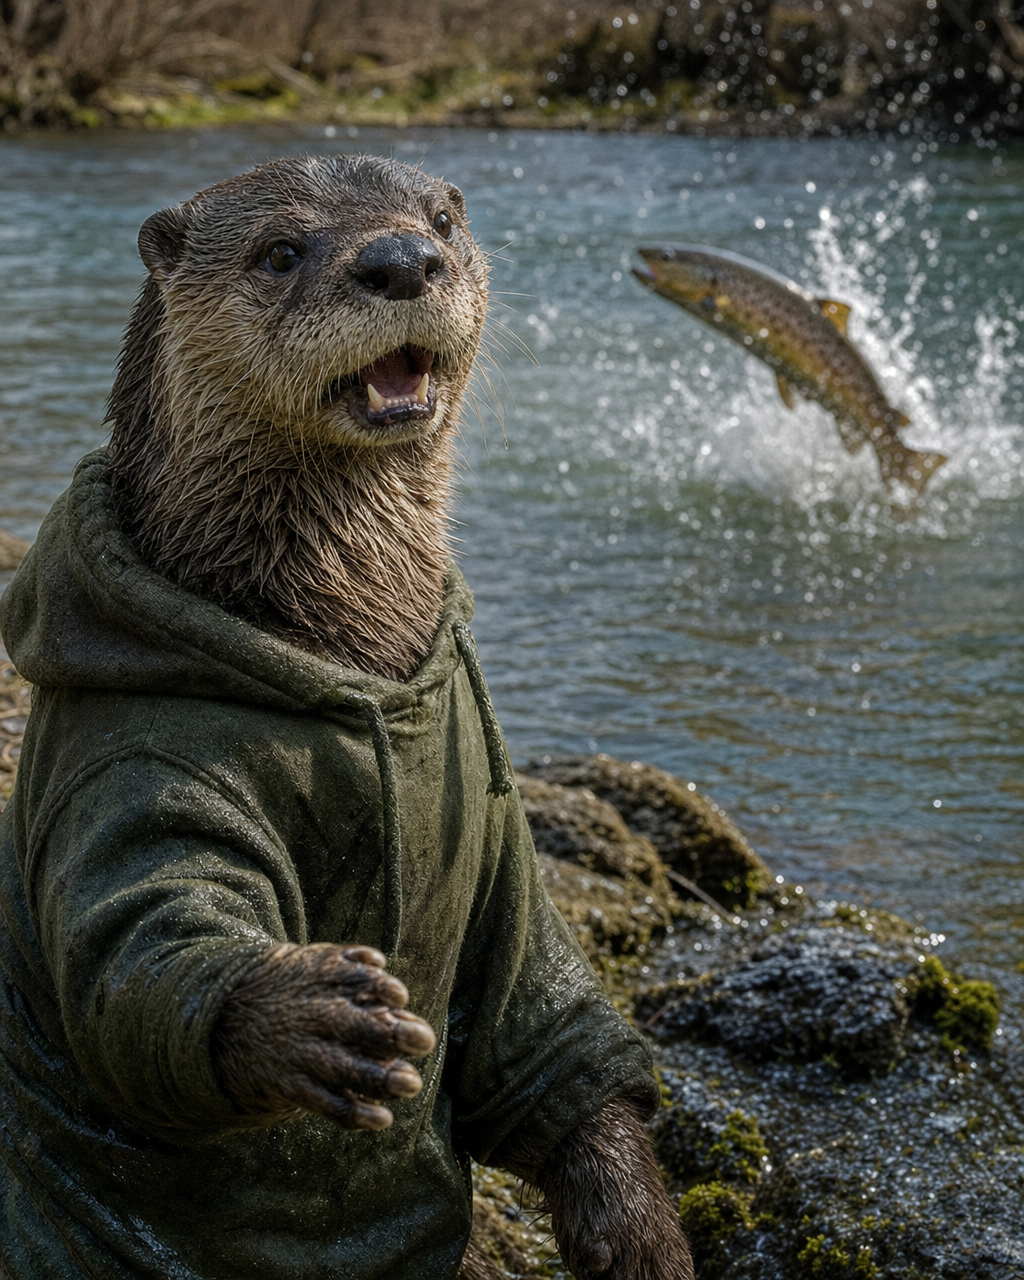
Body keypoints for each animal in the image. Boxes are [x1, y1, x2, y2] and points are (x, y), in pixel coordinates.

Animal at [0, 155, 693, 1280]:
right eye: (281, 249)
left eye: (442, 221)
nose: (401, 259)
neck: (342, 642)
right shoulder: (137, 775)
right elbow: (137, 951)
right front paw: (300, 1021)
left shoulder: (499, 831)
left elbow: (543, 1037)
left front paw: (639, 1233)